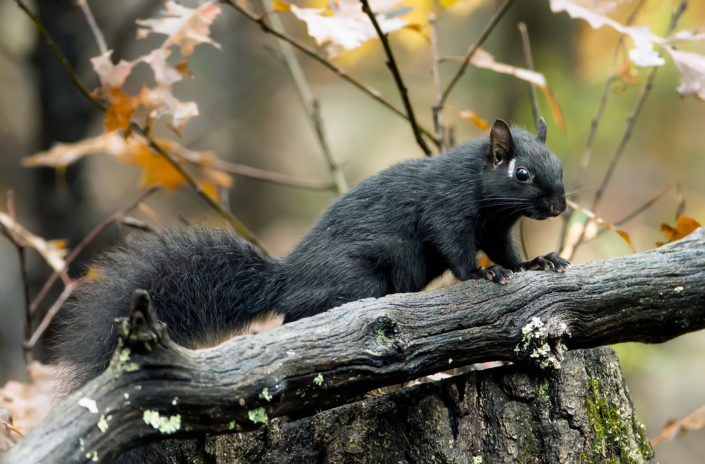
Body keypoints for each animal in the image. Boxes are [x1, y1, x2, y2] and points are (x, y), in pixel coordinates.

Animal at [53, 118, 568, 400]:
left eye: (559, 165)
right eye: (521, 174)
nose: (559, 205)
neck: (479, 186)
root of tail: (286, 279)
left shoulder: (497, 228)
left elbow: (509, 251)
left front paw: (535, 262)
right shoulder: (446, 210)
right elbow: (458, 250)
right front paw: (485, 273)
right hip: (358, 283)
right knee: (297, 323)